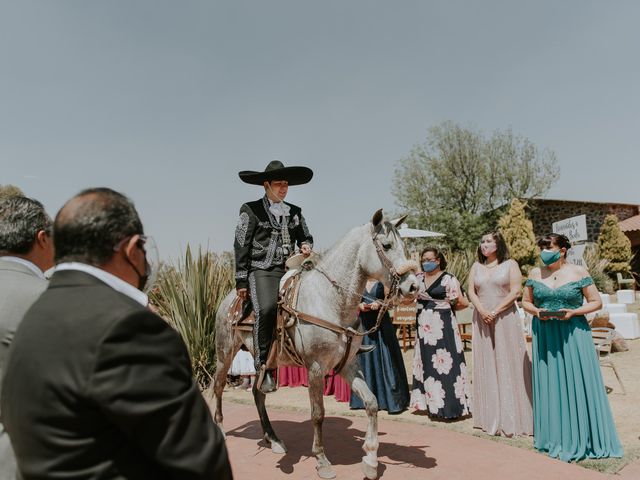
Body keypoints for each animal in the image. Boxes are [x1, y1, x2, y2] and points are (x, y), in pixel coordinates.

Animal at [212, 210, 418, 480]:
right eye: (386, 246)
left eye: (404, 245)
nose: (413, 286)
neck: (331, 301)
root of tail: (229, 300)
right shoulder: (316, 368)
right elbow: (318, 414)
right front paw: (321, 460)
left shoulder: (349, 365)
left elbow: (372, 403)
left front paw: (371, 460)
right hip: (225, 354)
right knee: (218, 387)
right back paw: (221, 429)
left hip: (266, 362)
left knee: (258, 393)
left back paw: (274, 439)